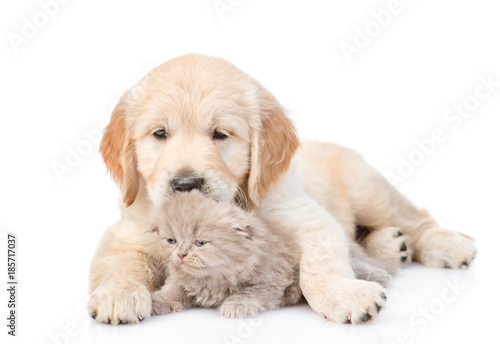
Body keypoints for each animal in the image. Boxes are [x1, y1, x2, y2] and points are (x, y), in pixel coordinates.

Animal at [150, 189, 392, 318]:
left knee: (356, 263)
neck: (212, 278)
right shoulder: (181, 281)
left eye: (200, 243)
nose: (181, 255)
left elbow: (249, 293)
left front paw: (235, 306)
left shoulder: (273, 280)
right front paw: (157, 301)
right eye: (172, 241)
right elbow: (172, 290)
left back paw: (381, 276)